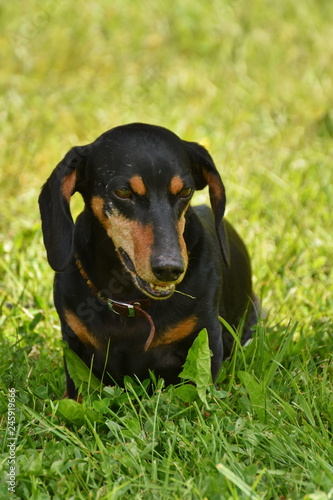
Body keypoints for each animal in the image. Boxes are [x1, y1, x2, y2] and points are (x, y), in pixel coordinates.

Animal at [39, 123, 256, 400]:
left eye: (185, 191)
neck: (129, 302)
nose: (170, 269)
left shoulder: (206, 339)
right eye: (123, 191)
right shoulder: (74, 346)